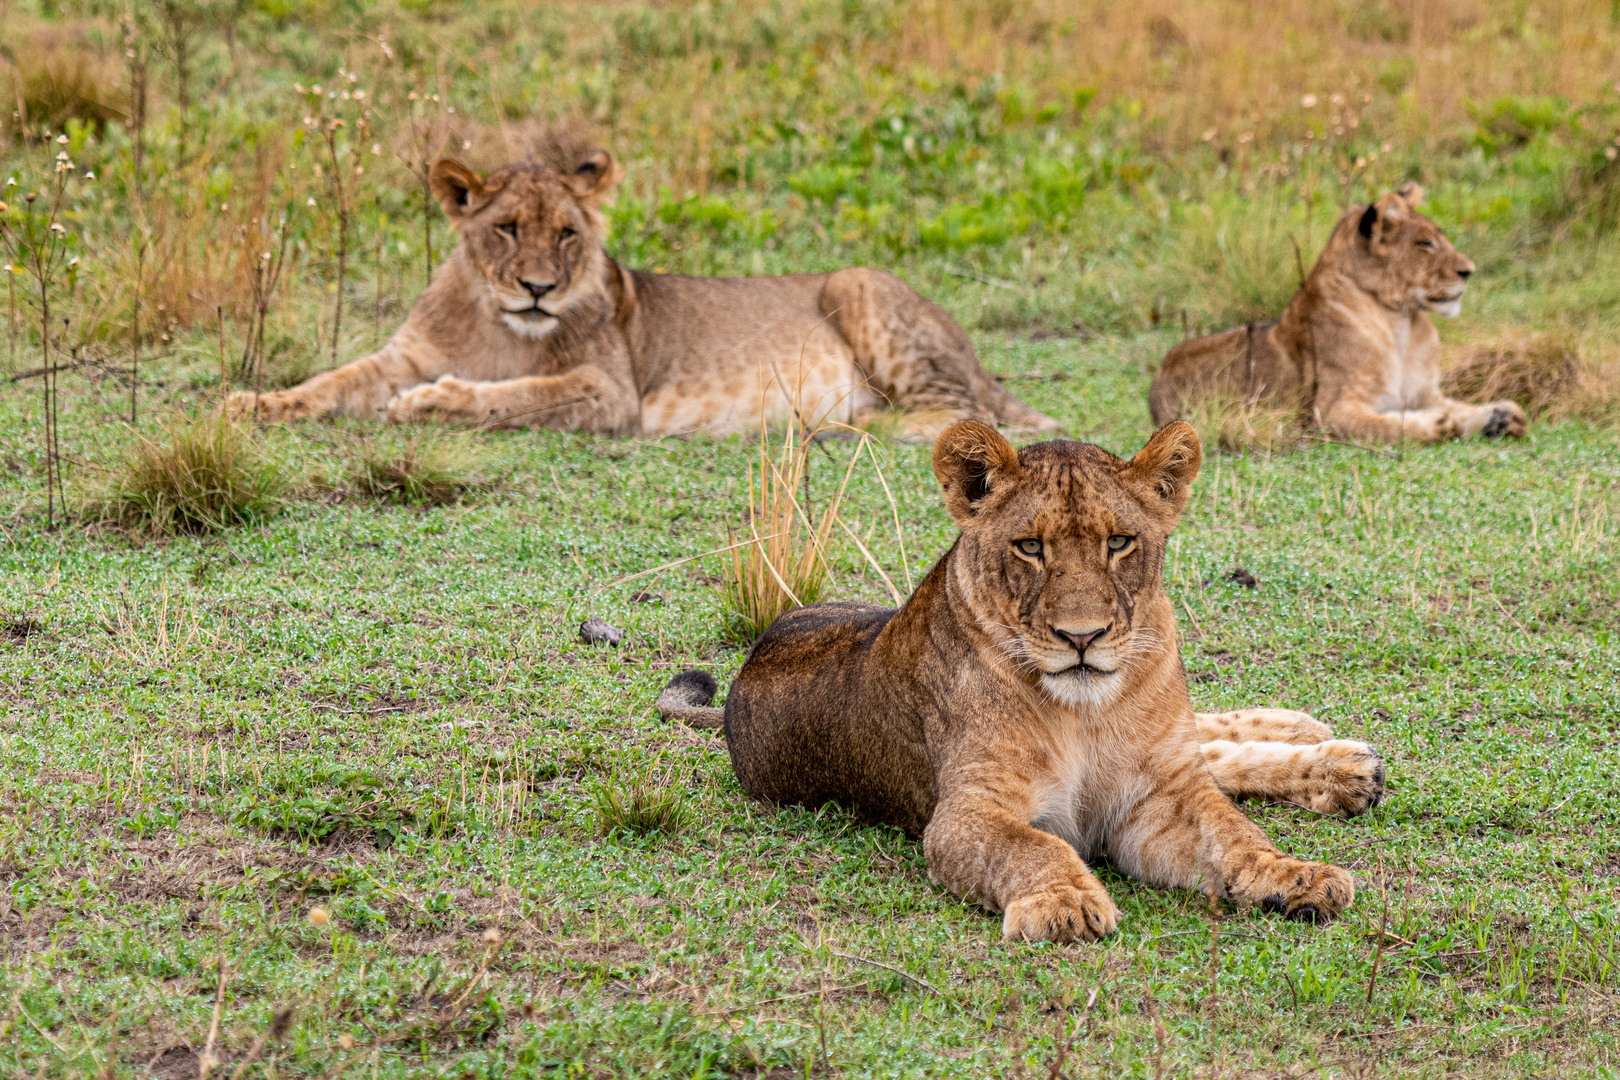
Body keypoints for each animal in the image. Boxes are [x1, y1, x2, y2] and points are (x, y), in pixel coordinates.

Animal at [231, 142, 1062, 440]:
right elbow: (334, 380)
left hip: (860, 284)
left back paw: (838, 426)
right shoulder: (405, 354)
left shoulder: (611, 391)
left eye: (568, 233)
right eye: (505, 228)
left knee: (955, 413)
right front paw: (253, 404)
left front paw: (433, 404)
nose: (538, 289)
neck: (498, 324)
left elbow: (519, 395)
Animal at [651, 420, 1386, 945]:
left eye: (1119, 542)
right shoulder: (964, 813)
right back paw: (1346, 766)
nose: (1082, 637)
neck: (1086, 712)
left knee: (1210, 741)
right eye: (1030, 547)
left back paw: (1328, 750)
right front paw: (1065, 903)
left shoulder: (1162, 792)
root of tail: (748, 666)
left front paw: (1294, 876)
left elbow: (1234, 834)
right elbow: (1032, 845)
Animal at [1146, 183, 1522, 446]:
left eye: (1438, 238)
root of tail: (1157, 375)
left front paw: (1500, 415)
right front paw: (1436, 424)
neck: (1400, 323)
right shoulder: (1327, 412)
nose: (1469, 271)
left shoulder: (1427, 393)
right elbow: (1388, 425)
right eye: (1425, 244)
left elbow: (1459, 406)